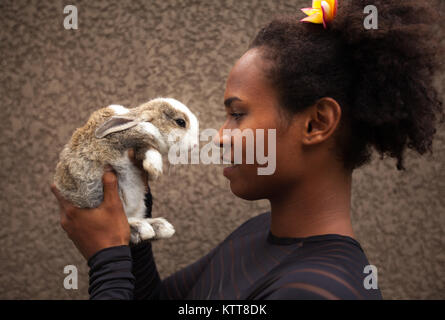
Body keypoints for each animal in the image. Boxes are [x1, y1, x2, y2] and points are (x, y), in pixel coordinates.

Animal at [53, 96, 199, 244]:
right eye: (180, 122)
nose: (195, 145)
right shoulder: (113, 140)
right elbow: (141, 135)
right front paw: (155, 167)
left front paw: (153, 171)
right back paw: (142, 228)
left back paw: (160, 227)